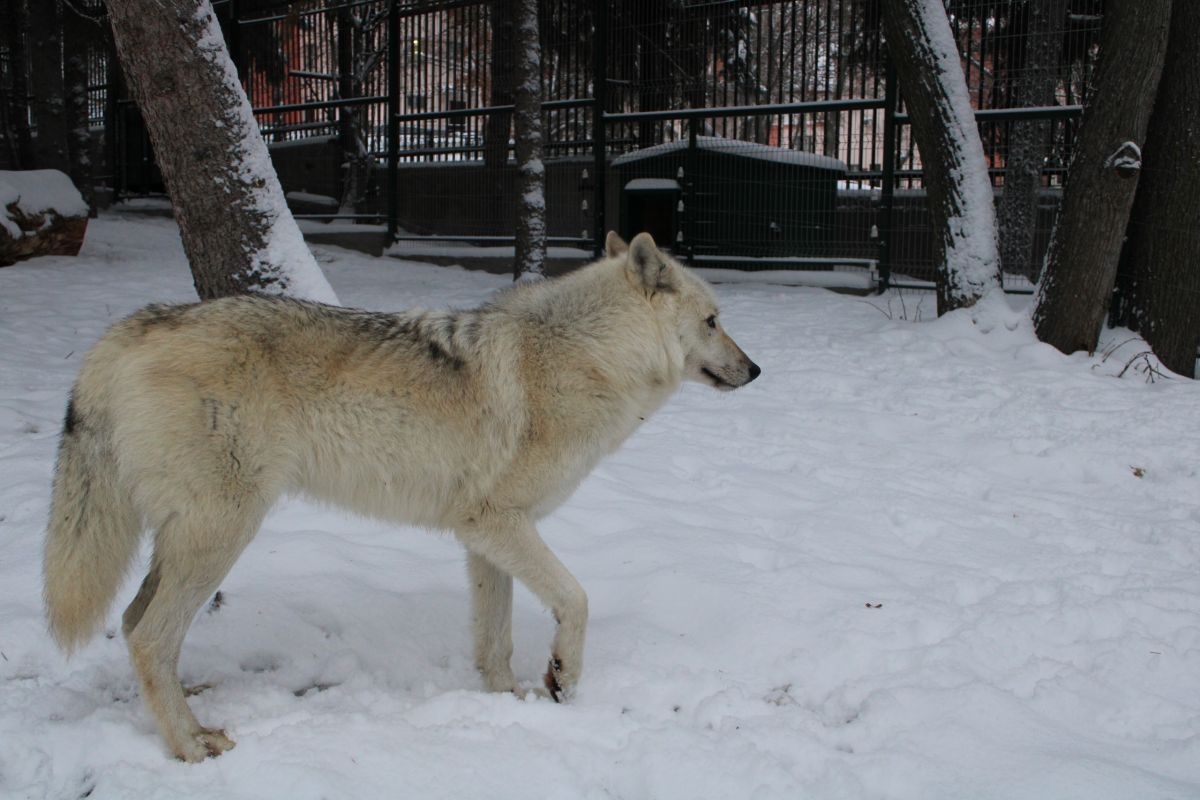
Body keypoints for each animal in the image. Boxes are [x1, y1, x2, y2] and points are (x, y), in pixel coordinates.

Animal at [46, 231, 763, 762]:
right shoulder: (501, 524)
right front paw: (562, 675)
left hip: (188, 541)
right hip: (221, 534)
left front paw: (508, 702)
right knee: (150, 636)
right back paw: (191, 745)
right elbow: (577, 600)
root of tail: (126, 332)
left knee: (132, 623)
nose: (755, 369)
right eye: (713, 321)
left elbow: (494, 640)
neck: (587, 355)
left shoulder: (483, 535)